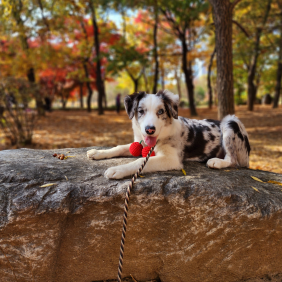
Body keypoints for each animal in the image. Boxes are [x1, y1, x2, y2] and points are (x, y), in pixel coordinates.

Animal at [87, 90, 250, 178]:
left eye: (161, 111)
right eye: (141, 111)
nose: (150, 129)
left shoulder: (171, 159)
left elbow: (140, 161)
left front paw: (117, 170)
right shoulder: (141, 143)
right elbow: (120, 147)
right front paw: (97, 152)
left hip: (230, 122)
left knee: (233, 160)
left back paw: (216, 162)